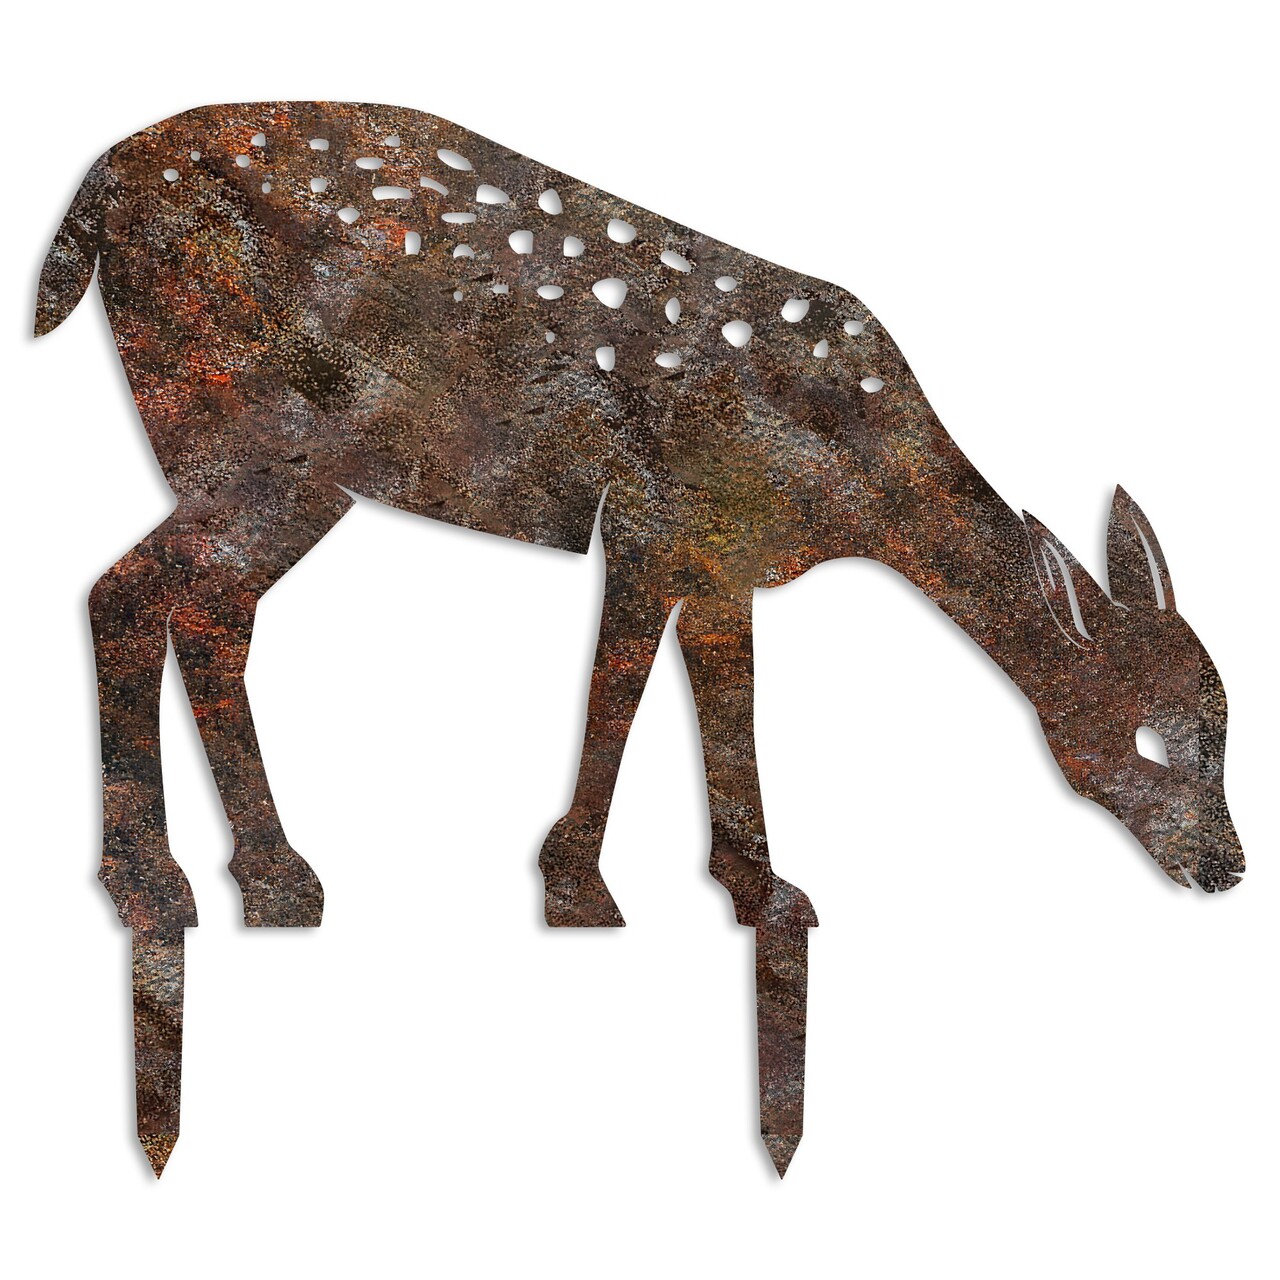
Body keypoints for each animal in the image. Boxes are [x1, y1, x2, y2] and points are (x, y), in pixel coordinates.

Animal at [37, 102, 1243, 1177]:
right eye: (1150, 735)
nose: (1226, 866)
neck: (855, 476)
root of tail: (92, 200)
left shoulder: (724, 557)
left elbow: (718, 696)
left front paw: (755, 888)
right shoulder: (657, 519)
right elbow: (622, 685)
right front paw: (579, 887)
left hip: (276, 465)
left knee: (201, 612)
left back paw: (273, 880)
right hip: (254, 434)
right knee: (128, 593)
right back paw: (160, 886)